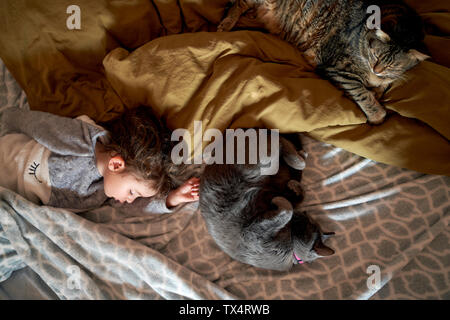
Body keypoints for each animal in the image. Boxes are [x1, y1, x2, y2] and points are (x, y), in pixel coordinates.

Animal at [198, 131, 334, 272]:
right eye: (310, 221)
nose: (305, 213)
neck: (290, 249)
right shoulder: (253, 229)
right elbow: (289, 206)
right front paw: (290, 189)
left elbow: (291, 204)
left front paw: (291, 188)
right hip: (262, 163)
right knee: (280, 142)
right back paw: (300, 154)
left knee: (280, 143)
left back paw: (300, 155)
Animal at [218, 0, 428, 124]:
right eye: (374, 55)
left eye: (393, 64)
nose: (376, 69)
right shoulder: (338, 70)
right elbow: (362, 93)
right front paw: (377, 114)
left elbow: (384, 85)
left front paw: (379, 88)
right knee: (238, 4)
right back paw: (227, 23)